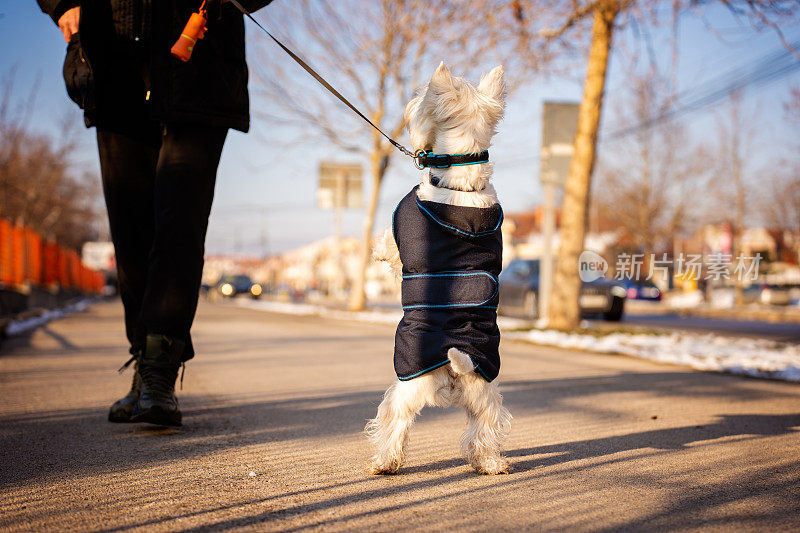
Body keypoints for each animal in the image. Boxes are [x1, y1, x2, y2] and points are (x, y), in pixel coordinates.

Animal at [368, 62, 512, 474]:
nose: (413, 97)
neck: (462, 186)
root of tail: (455, 365)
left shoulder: (398, 232)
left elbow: (386, 246)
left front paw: (375, 253)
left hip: (405, 387)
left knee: (394, 422)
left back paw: (383, 463)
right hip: (485, 395)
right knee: (485, 429)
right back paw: (491, 465)